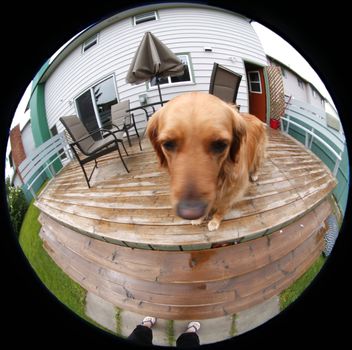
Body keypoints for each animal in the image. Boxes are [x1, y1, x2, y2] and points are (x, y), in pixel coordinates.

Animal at [146, 91, 266, 231]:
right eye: (168, 144)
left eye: (220, 144)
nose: (190, 212)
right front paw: (199, 218)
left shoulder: (233, 190)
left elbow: (222, 208)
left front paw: (215, 221)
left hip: (259, 151)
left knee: (257, 164)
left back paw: (255, 174)